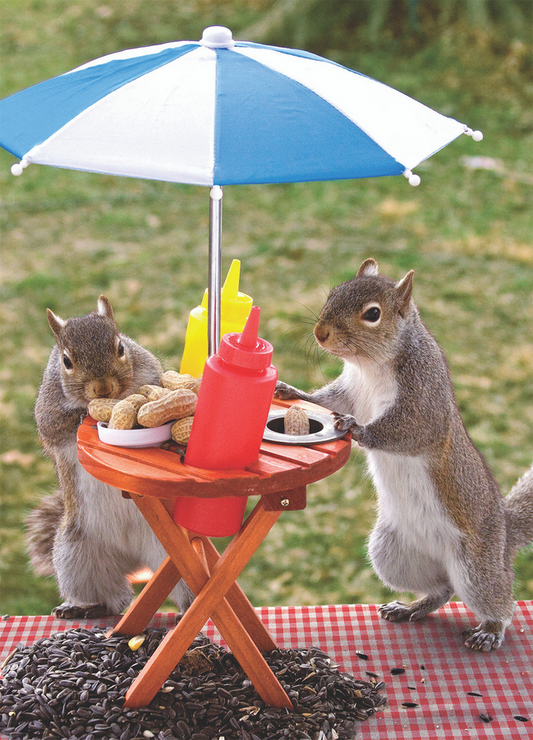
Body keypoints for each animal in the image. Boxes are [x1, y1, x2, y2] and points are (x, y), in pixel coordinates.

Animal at [27, 295, 193, 618]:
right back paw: (86, 609)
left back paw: (186, 611)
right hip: (76, 556)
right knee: (115, 599)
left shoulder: (151, 375)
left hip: (175, 556)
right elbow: (53, 425)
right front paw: (83, 414)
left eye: (120, 348)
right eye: (66, 361)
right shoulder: (48, 409)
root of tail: (135, 560)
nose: (102, 388)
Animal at [275, 258, 533, 651]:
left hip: (476, 566)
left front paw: (357, 429)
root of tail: (506, 532)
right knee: (442, 589)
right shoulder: (348, 389)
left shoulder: (423, 399)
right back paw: (411, 607)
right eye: (333, 293)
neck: (370, 365)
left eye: (372, 314)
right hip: (391, 553)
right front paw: (291, 390)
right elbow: (325, 400)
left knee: (497, 598)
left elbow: (407, 430)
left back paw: (490, 630)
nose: (320, 333)